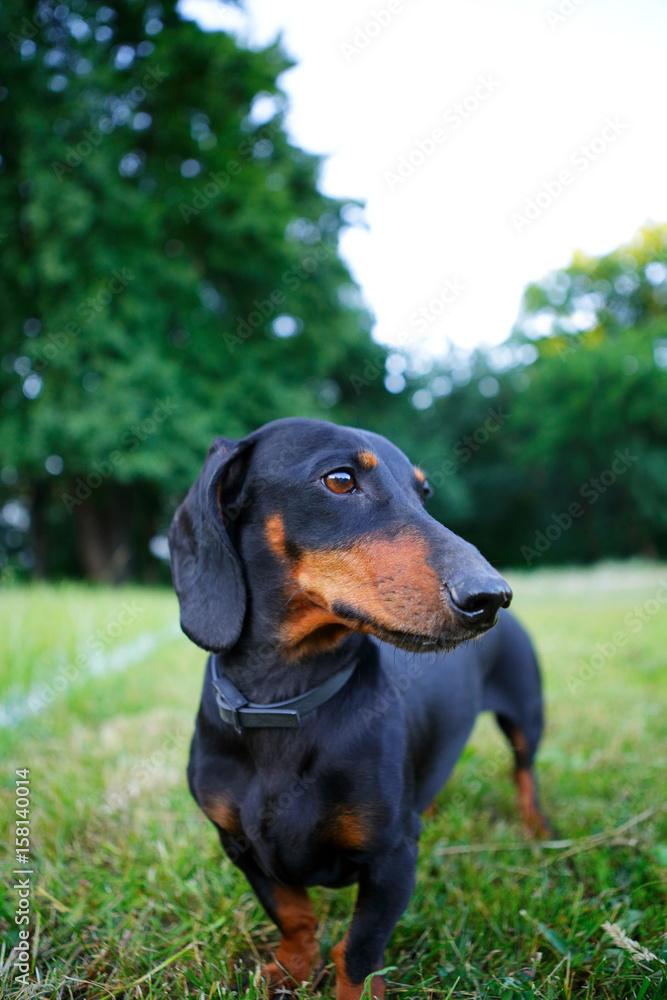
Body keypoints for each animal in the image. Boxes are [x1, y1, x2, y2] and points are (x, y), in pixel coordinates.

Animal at [170, 418, 552, 996]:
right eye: (340, 479)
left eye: (424, 494)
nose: (491, 597)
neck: (285, 704)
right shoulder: (239, 845)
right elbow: (293, 914)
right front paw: (292, 967)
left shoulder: (392, 857)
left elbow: (360, 950)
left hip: (527, 717)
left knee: (523, 772)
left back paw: (538, 828)